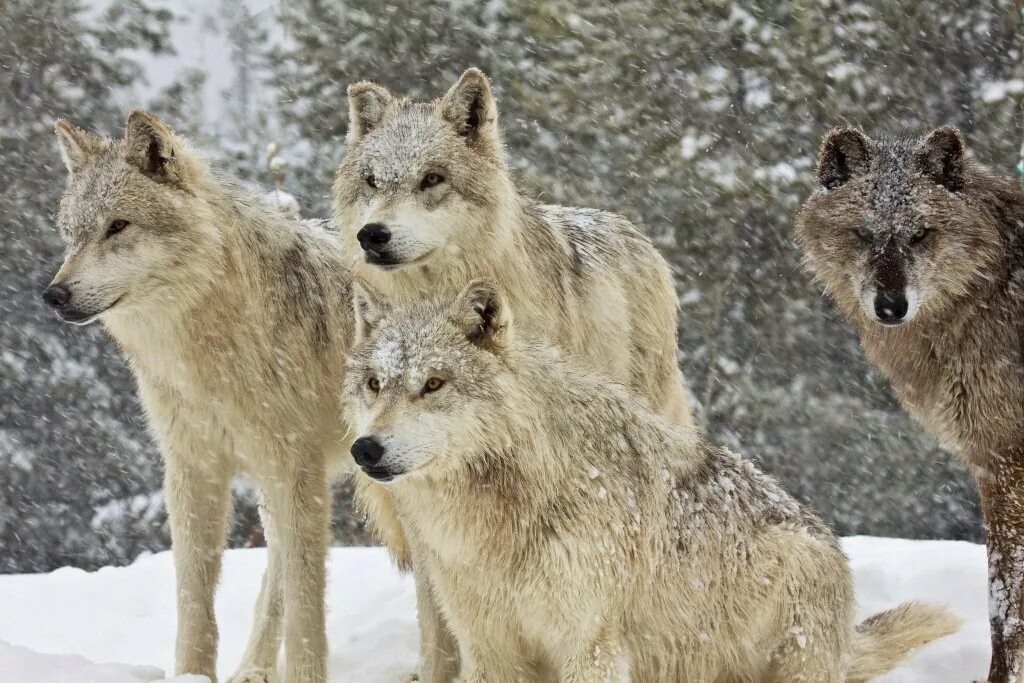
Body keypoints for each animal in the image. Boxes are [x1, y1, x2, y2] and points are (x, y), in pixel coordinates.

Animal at [48, 109, 356, 679]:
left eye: (117, 226)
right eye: (71, 234)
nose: (53, 294)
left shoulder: (292, 468)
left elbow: (307, 606)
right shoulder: (193, 469)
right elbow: (194, 598)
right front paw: (193, 674)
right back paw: (252, 670)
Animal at [794, 124, 1024, 683]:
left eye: (920, 234)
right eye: (863, 234)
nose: (890, 307)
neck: (991, 291)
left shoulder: (1005, 464)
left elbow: (1004, 606)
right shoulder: (992, 465)